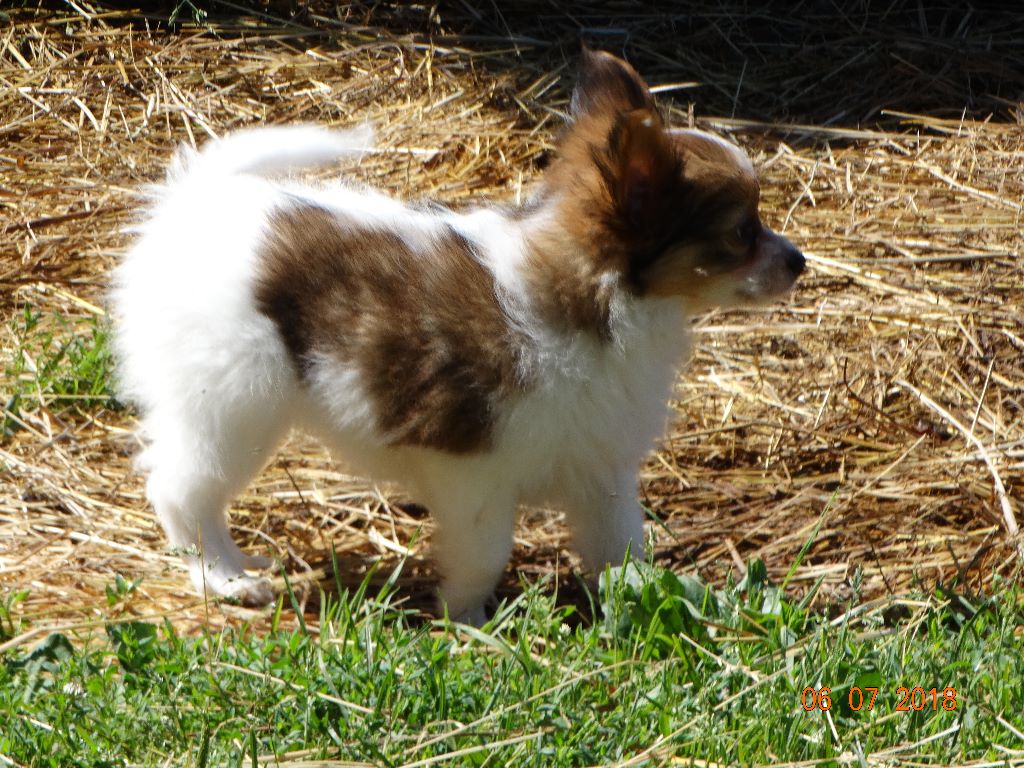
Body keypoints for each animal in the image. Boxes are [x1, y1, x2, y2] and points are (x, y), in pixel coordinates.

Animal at [111, 49, 804, 625]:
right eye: (742, 232)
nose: (799, 261)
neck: (598, 297)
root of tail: (197, 202)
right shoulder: (472, 469)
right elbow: (487, 550)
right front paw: (466, 619)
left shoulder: (599, 468)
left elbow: (622, 549)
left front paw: (650, 600)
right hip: (234, 407)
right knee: (181, 489)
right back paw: (224, 577)